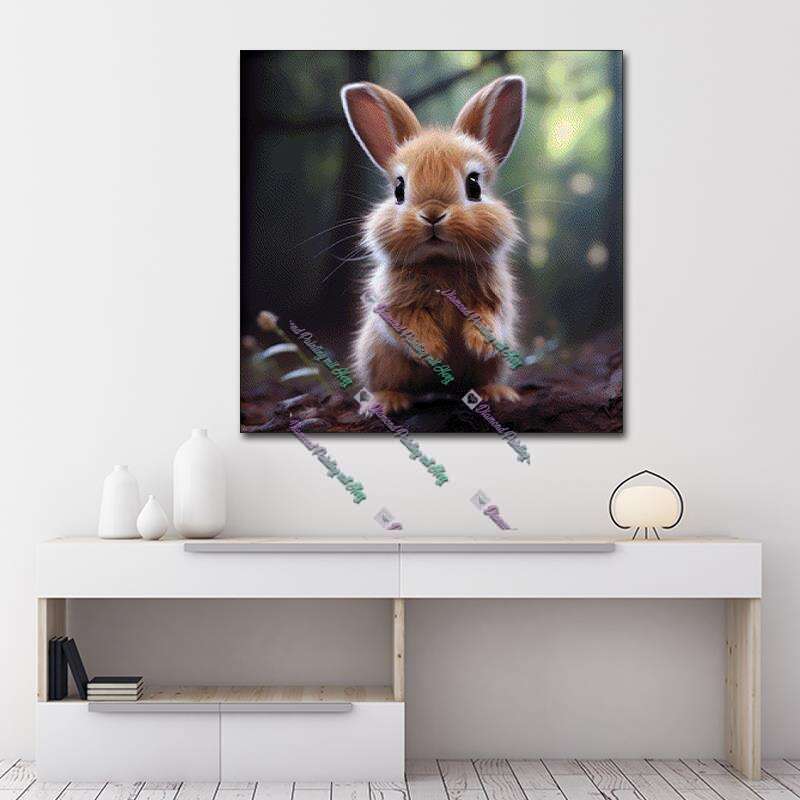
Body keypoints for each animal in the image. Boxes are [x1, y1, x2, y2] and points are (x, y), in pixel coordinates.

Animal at [341, 75, 526, 414]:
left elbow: (490, 317)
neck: (441, 260)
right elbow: (408, 325)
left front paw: (478, 343)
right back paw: (387, 401)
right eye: (399, 189)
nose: (432, 214)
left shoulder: (496, 300)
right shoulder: (393, 306)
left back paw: (495, 393)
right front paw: (435, 351)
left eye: (474, 185)